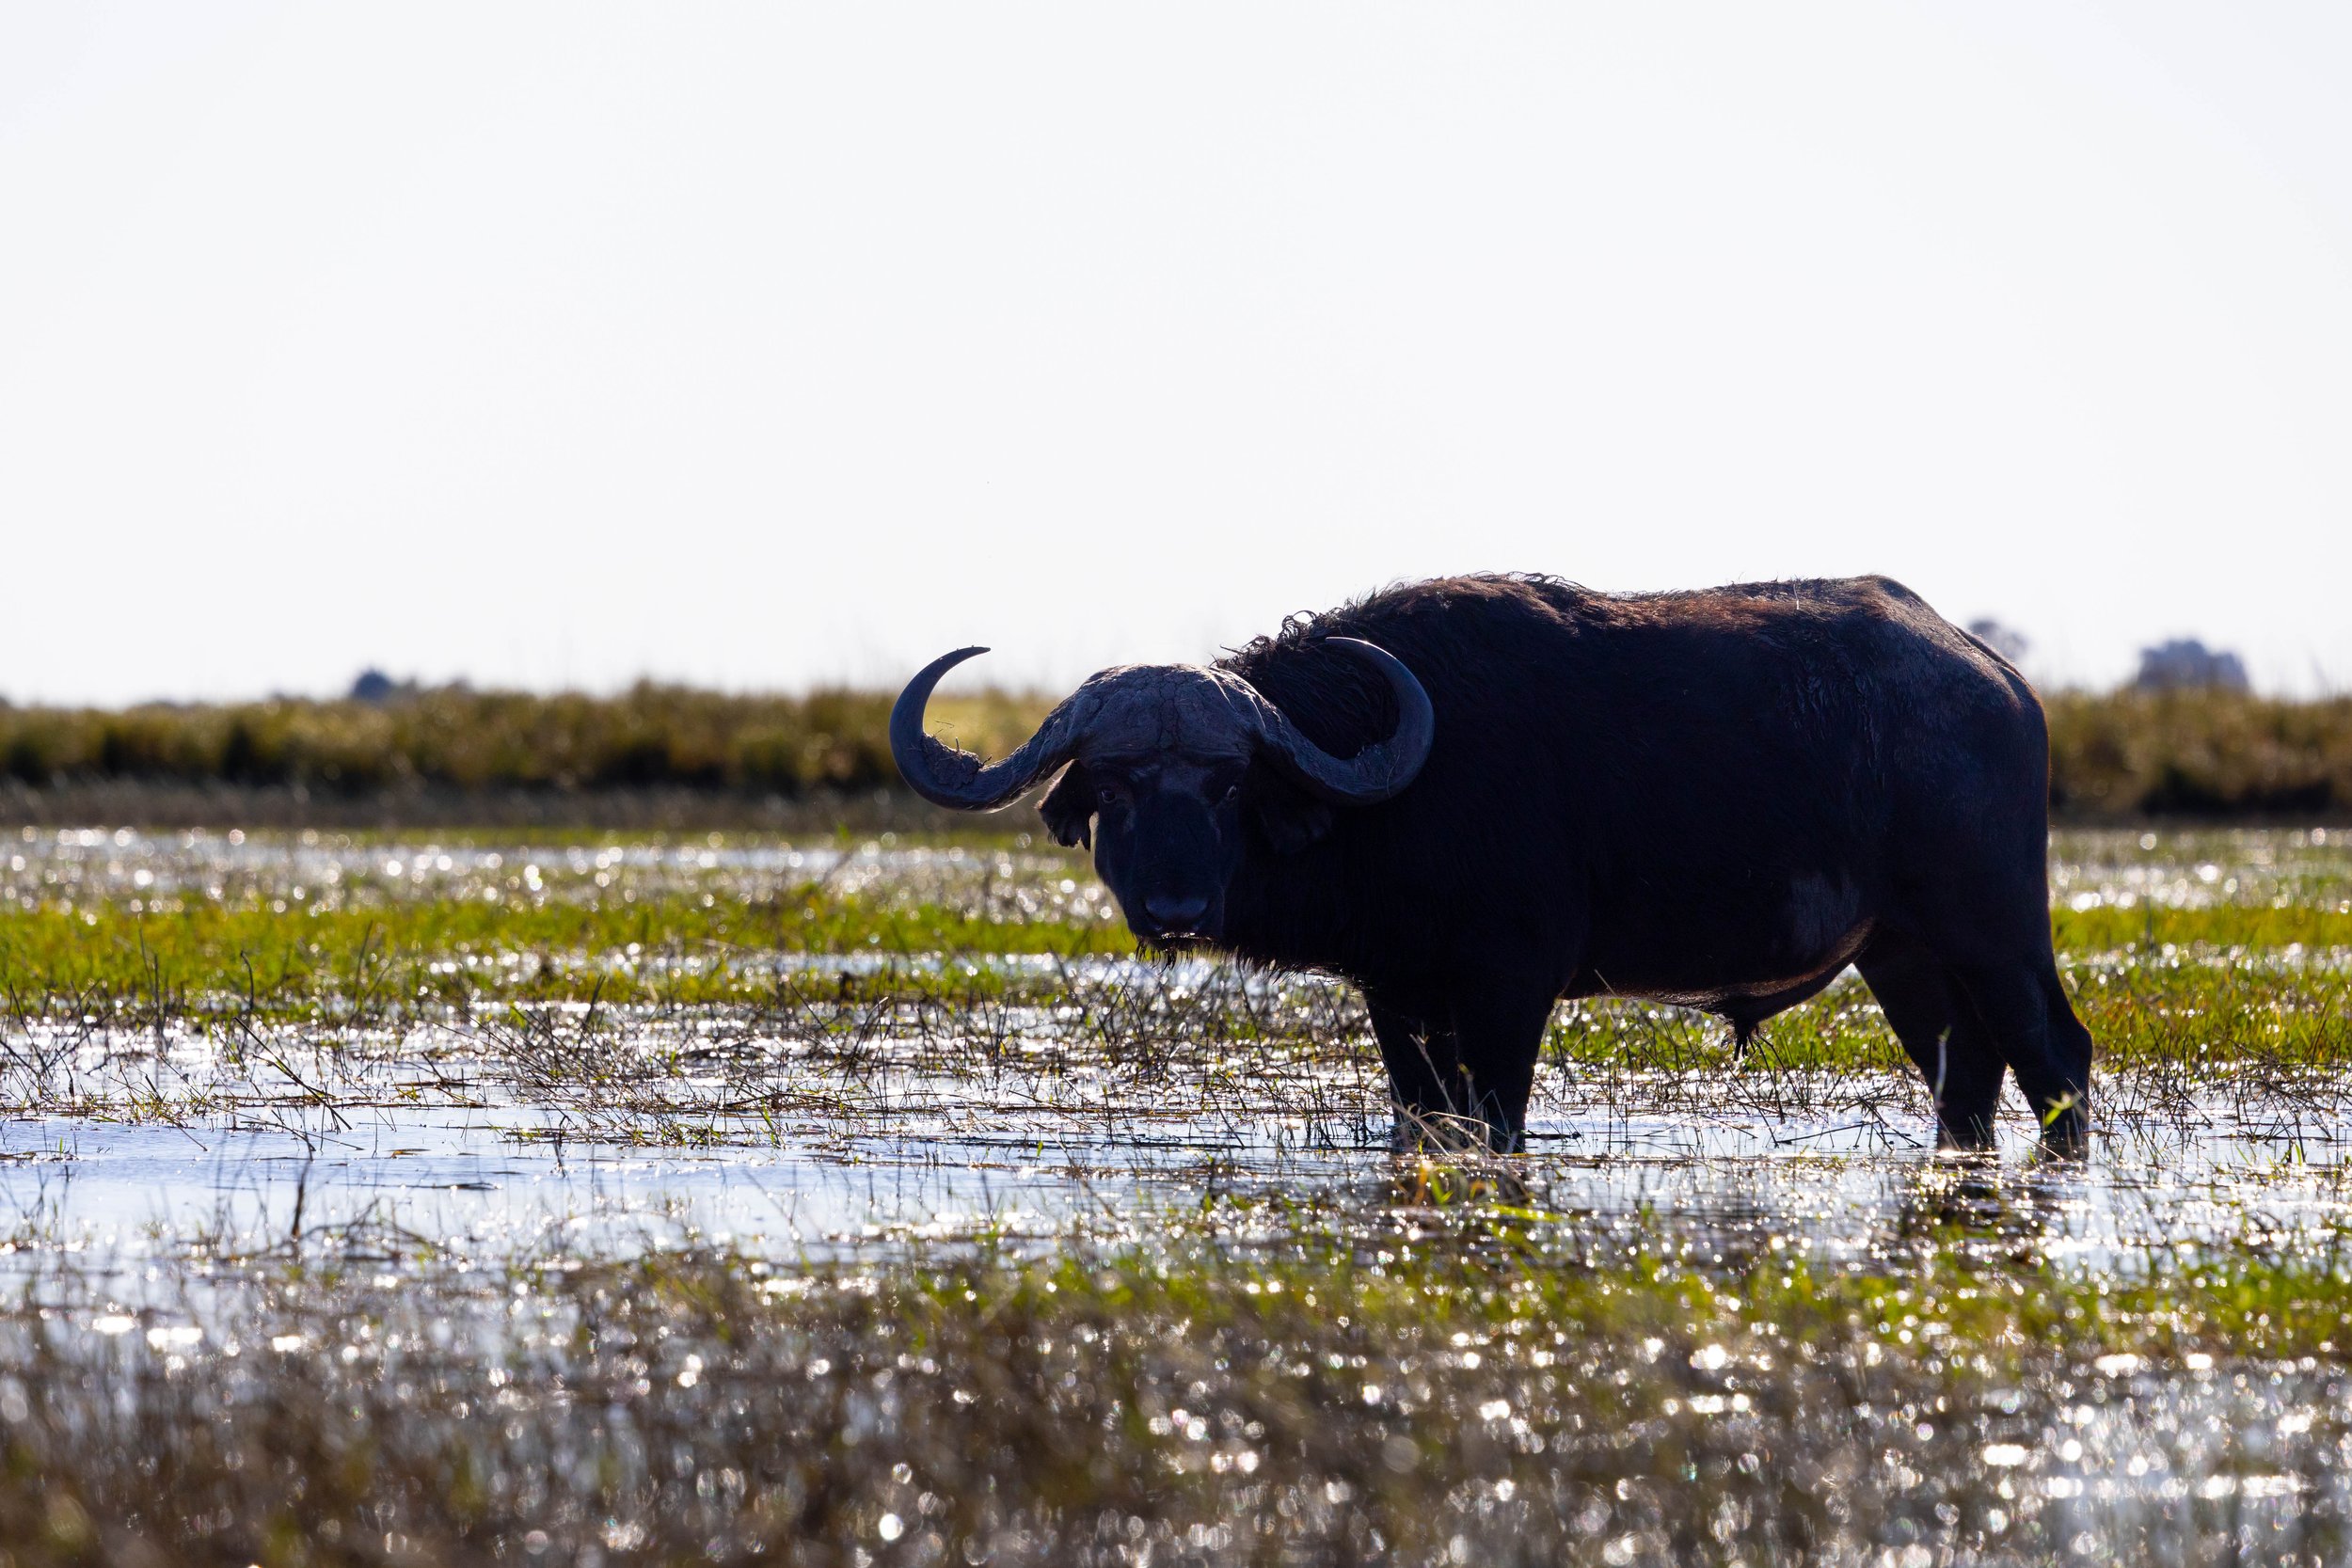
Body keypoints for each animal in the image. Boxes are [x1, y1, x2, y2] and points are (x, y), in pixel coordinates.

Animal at [891, 575, 2092, 1156]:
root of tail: (1994, 679)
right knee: (1964, 1076)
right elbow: (1421, 1119)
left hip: (1995, 930)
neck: (1403, 792)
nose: (1175, 904)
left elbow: (1497, 1120)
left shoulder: (1511, 990)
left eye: (1227, 784)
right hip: (1903, 955)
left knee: (2055, 1053)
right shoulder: (1397, 999)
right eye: (1116, 786)